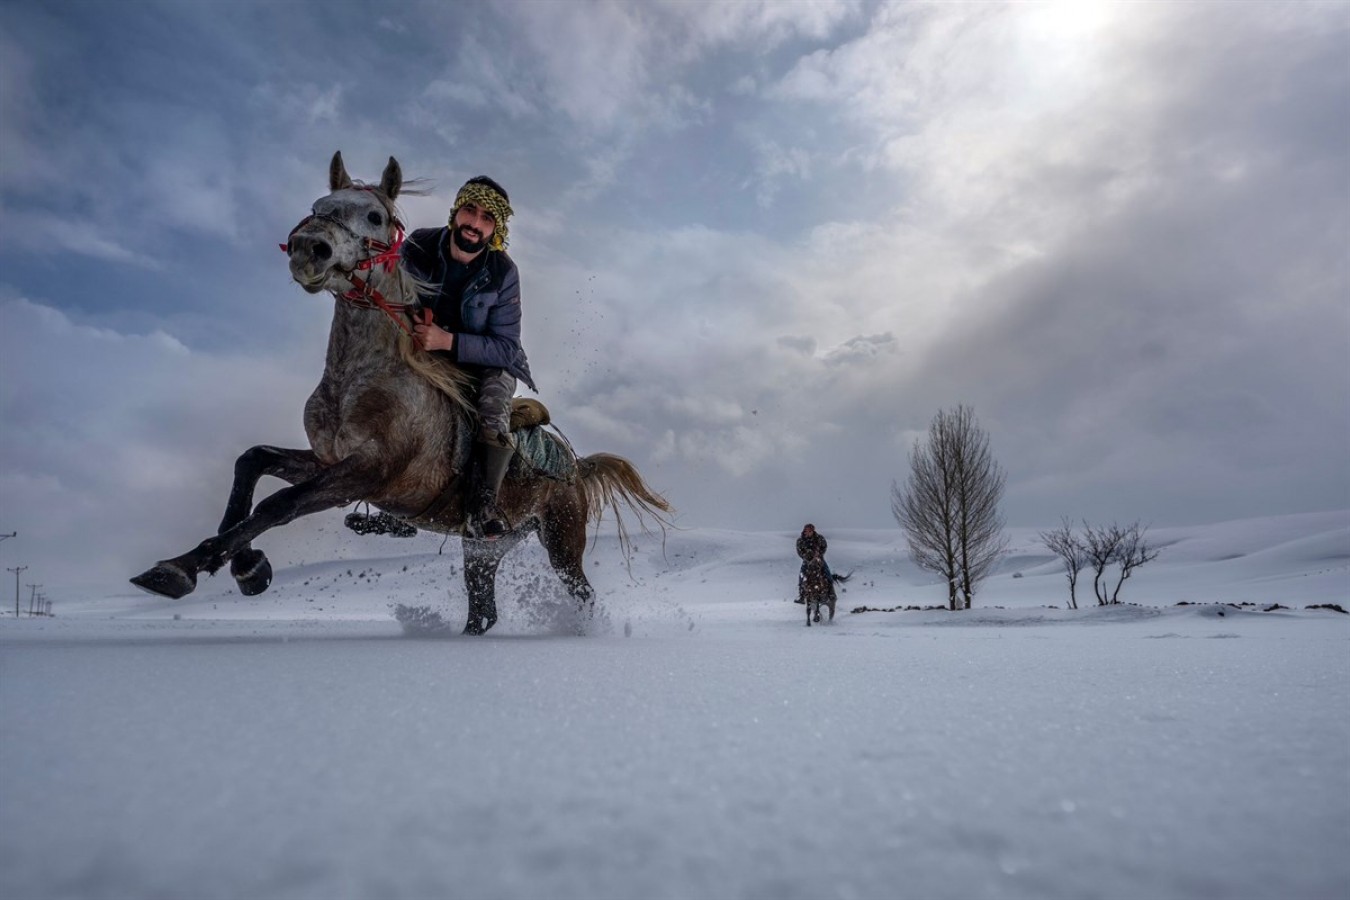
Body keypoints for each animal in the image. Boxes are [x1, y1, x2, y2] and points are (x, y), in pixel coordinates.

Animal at [131, 153, 669, 634]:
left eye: (374, 216)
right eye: (319, 203)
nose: (309, 248)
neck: (358, 377)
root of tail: (575, 466)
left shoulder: (369, 471)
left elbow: (278, 505)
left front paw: (198, 569)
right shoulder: (327, 459)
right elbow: (252, 461)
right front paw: (235, 566)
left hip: (560, 544)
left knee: (579, 594)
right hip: (482, 548)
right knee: (483, 610)